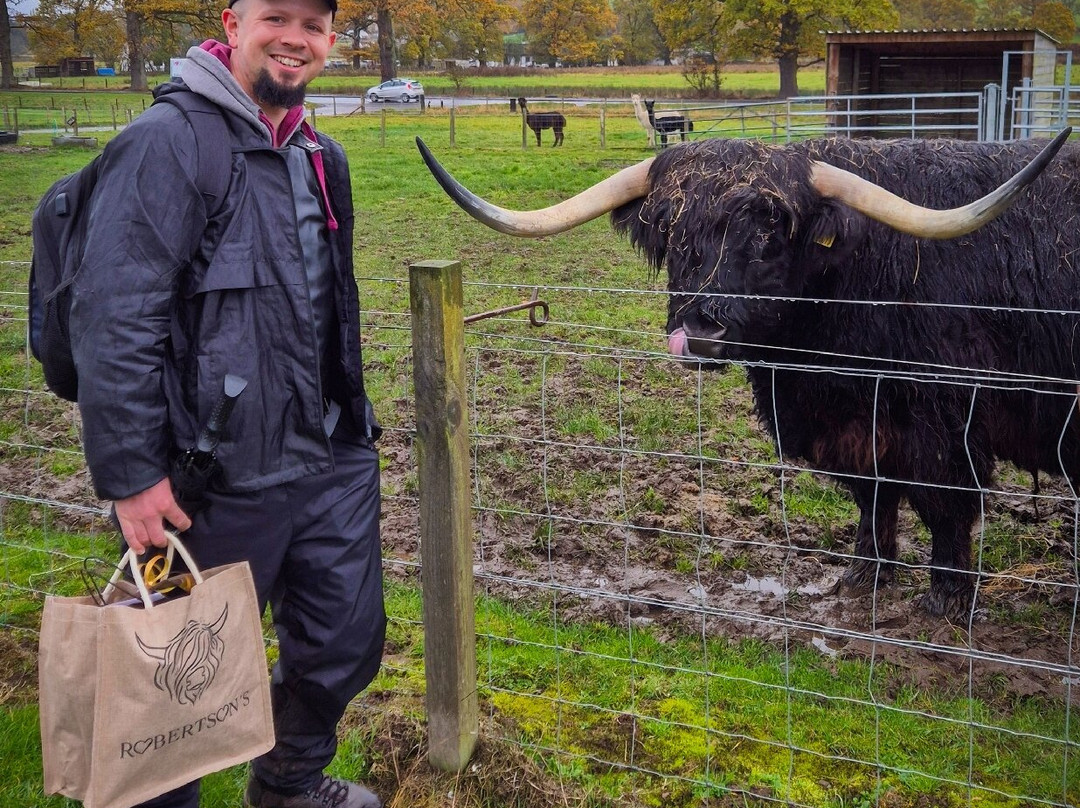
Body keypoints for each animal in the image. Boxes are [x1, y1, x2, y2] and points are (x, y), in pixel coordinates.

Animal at [415, 130, 1074, 618]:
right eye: (674, 234)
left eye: (767, 234)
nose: (700, 333)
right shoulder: (855, 424)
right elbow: (873, 497)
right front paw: (861, 577)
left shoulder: (944, 417)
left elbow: (945, 502)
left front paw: (944, 601)